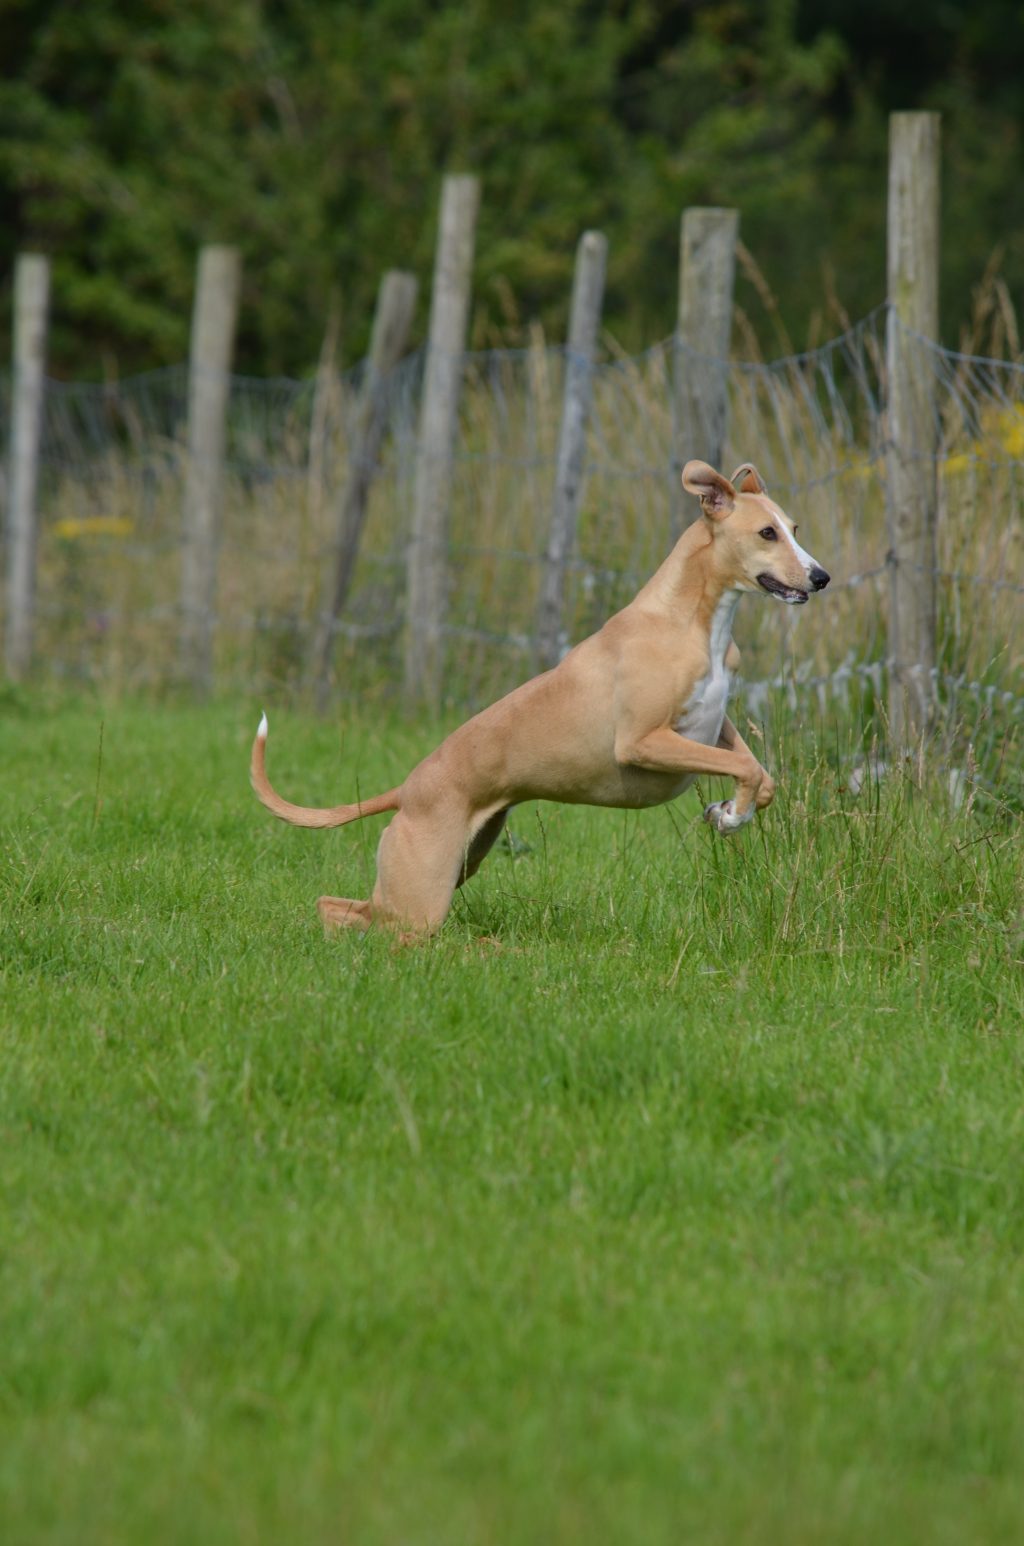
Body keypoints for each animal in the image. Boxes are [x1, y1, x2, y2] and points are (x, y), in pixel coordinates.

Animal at [251, 460, 830, 938]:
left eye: (794, 528)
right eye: (767, 532)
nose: (821, 577)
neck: (690, 619)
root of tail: (408, 790)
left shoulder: (714, 724)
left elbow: (761, 776)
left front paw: (727, 813)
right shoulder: (642, 742)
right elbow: (748, 770)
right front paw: (730, 815)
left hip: (461, 861)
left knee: (345, 909)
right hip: (425, 891)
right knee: (370, 922)